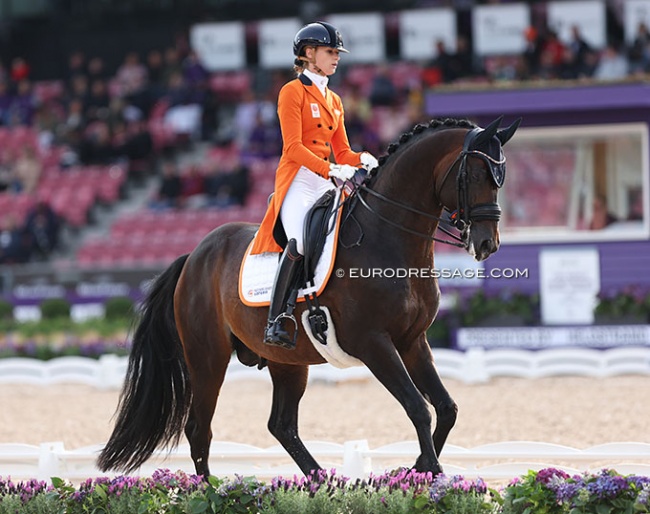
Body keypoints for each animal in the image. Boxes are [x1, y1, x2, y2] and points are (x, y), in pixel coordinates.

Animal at [98, 115, 520, 476]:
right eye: (477, 173)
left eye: (501, 178)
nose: (487, 244)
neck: (389, 239)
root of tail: (195, 255)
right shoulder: (373, 343)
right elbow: (419, 407)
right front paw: (429, 472)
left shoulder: (412, 341)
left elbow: (445, 408)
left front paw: (416, 469)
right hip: (207, 359)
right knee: (200, 429)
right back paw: (213, 492)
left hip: (286, 361)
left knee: (281, 425)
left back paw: (323, 482)